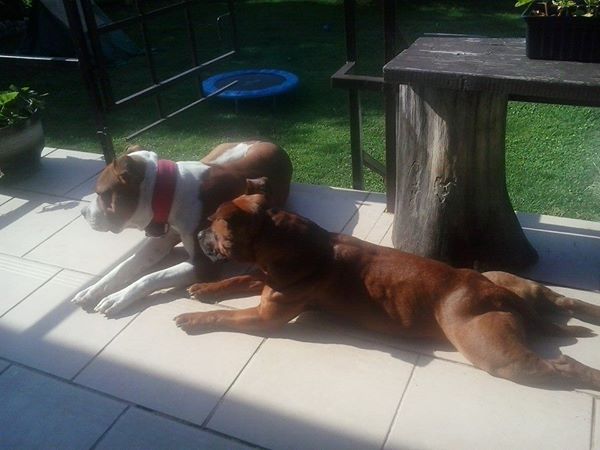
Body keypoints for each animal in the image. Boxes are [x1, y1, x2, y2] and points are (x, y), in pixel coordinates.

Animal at [71, 141, 292, 316]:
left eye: (101, 194)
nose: (83, 212)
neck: (170, 194)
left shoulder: (204, 264)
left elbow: (151, 277)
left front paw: (118, 298)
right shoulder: (158, 241)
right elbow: (124, 266)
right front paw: (93, 289)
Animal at [176, 193, 600, 391]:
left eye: (213, 226)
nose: (199, 232)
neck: (279, 236)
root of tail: (488, 290)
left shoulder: (265, 315)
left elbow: (227, 315)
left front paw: (194, 318)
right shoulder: (264, 278)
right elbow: (236, 281)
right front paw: (205, 287)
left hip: (495, 354)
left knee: (551, 365)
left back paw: (579, 371)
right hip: (504, 278)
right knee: (559, 299)